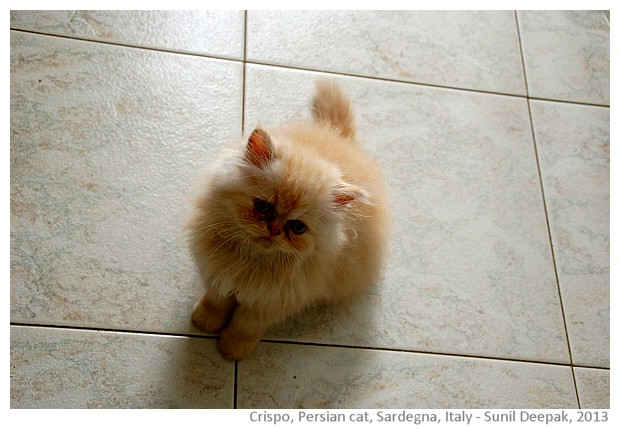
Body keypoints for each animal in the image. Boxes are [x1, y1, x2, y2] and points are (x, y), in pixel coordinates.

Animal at [186, 79, 390, 358]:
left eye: (297, 227)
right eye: (263, 206)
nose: (273, 230)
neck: (253, 261)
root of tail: (340, 137)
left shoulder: (271, 303)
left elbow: (244, 325)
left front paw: (232, 350)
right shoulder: (216, 275)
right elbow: (215, 303)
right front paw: (204, 322)